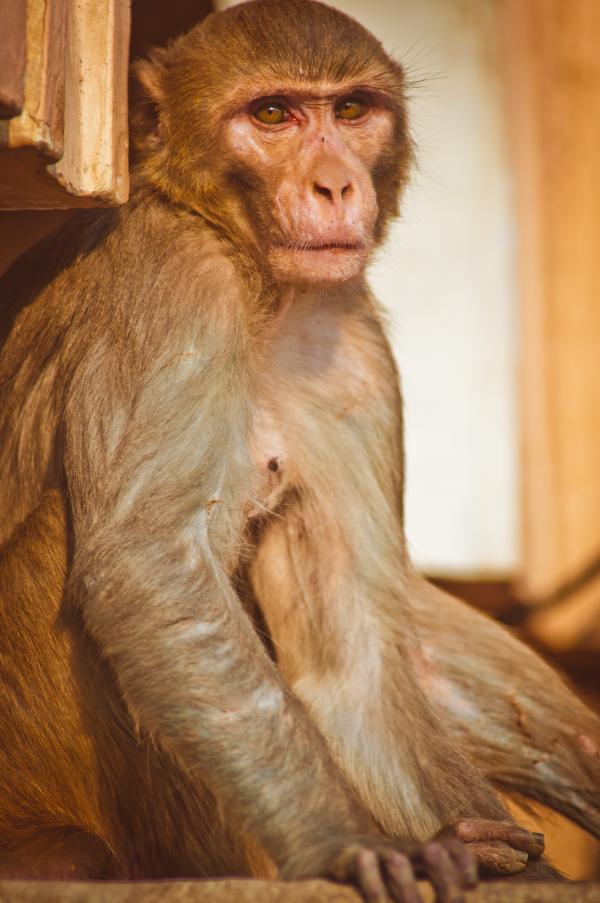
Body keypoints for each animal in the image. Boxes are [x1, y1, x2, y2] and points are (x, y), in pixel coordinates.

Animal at [0, 1, 598, 900]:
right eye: (273, 115)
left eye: (349, 111)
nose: (336, 185)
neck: (260, 285)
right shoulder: (177, 278)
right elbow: (147, 568)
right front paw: (348, 841)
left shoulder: (348, 342)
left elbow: (356, 663)